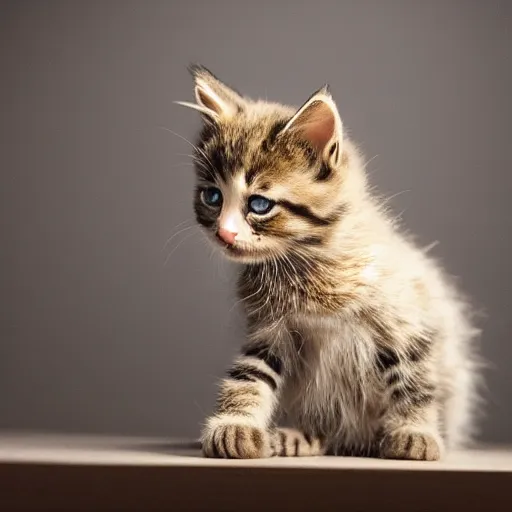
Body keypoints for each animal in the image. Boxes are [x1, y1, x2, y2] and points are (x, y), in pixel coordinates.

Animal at [176, 64, 480, 460]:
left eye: (259, 204)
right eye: (212, 197)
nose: (225, 233)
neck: (304, 261)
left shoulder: (408, 319)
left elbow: (413, 378)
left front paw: (416, 432)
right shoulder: (269, 329)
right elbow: (250, 374)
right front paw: (235, 425)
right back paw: (297, 437)